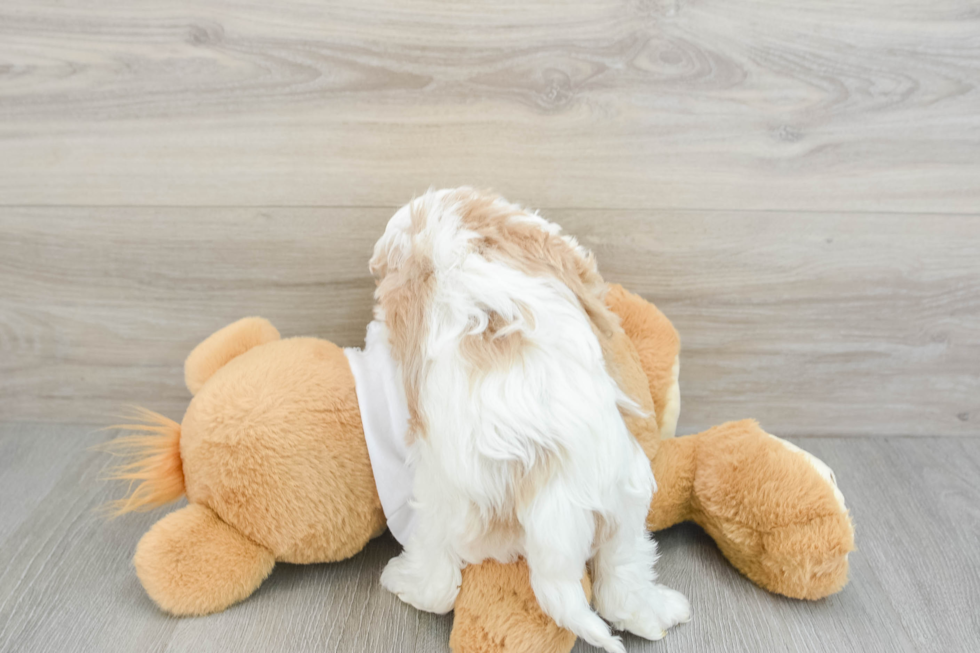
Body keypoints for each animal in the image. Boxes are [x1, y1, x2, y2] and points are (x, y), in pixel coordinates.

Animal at [368, 186, 688, 648]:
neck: (455, 236)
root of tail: (550, 476)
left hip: (445, 498)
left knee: (438, 579)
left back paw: (403, 580)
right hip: (627, 491)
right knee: (622, 569)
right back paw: (654, 612)